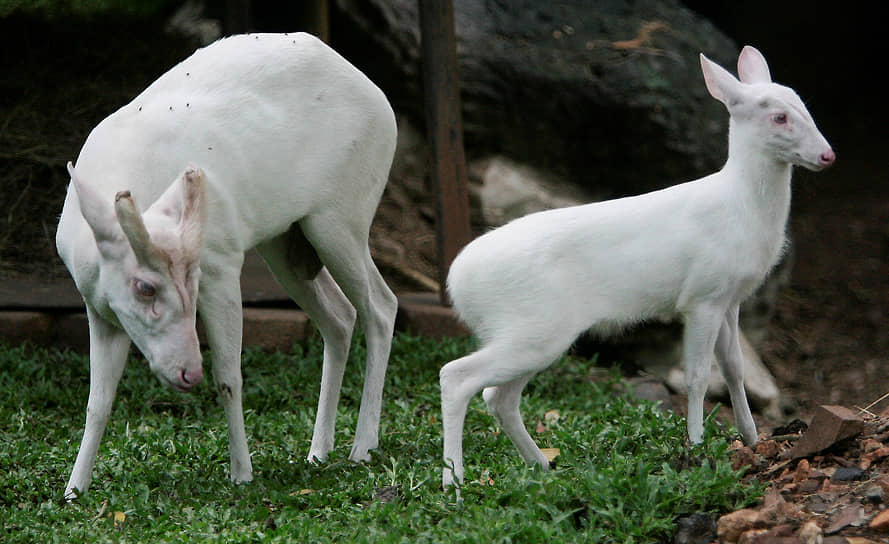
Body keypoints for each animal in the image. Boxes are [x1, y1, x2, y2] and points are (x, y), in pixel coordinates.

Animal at [56, 31, 398, 498]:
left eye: (192, 279)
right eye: (145, 287)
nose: (187, 374)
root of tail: (382, 101)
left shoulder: (222, 263)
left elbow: (229, 375)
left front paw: (242, 474)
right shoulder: (99, 307)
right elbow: (98, 400)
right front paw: (74, 490)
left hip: (340, 220)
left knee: (381, 306)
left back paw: (362, 447)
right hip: (284, 242)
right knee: (340, 316)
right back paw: (318, 451)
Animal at [440, 46, 836, 486]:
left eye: (802, 105)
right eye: (779, 117)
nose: (827, 155)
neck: (740, 205)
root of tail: (456, 283)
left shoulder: (730, 299)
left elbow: (734, 369)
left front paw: (751, 438)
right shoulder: (702, 296)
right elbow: (698, 377)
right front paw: (696, 447)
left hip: (528, 332)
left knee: (498, 397)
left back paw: (541, 465)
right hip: (533, 326)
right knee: (457, 377)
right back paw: (453, 480)